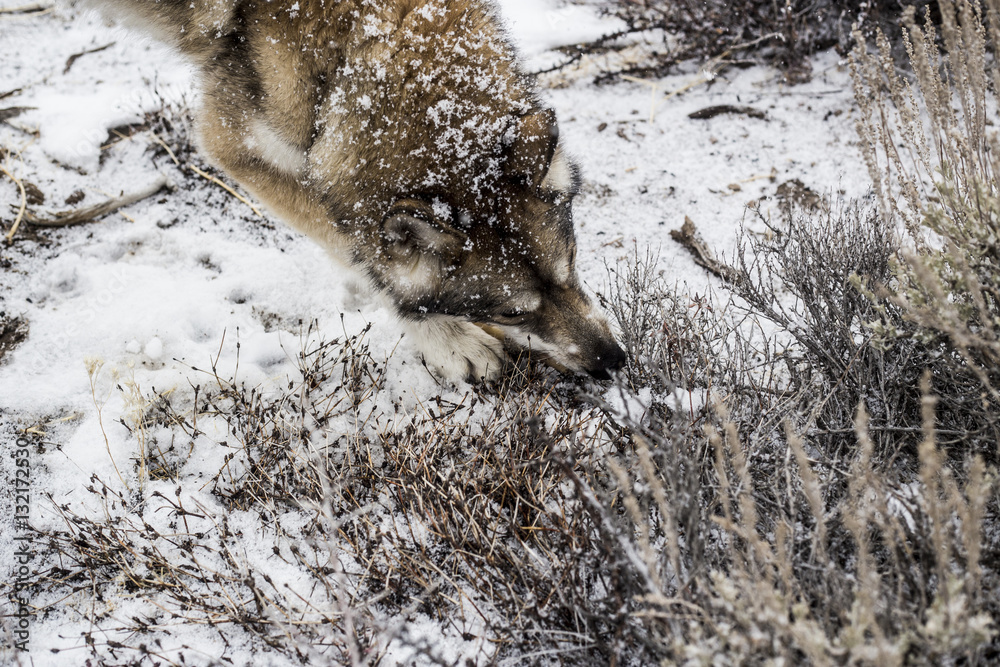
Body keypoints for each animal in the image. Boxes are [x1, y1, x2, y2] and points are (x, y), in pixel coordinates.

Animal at [85, 0, 627, 382]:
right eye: (511, 311)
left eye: (572, 263)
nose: (613, 360)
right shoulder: (230, 145)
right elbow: (358, 251)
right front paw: (444, 337)